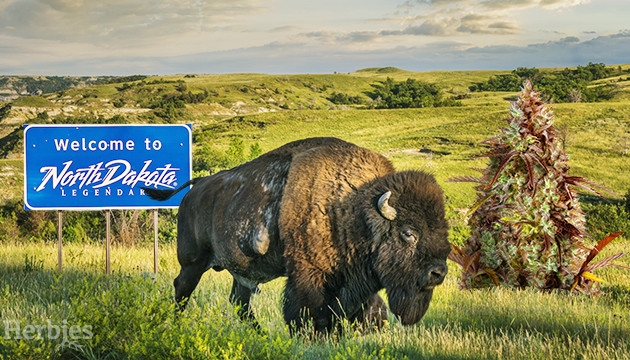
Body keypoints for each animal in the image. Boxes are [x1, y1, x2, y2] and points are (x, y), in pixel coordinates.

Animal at [143, 136, 450, 334]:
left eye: (443, 228)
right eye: (408, 232)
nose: (438, 273)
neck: (353, 208)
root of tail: (197, 187)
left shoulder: (352, 284)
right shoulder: (308, 274)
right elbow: (307, 312)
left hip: (240, 272)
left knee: (240, 303)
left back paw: (262, 335)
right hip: (193, 262)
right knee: (182, 289)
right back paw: (175, 326)